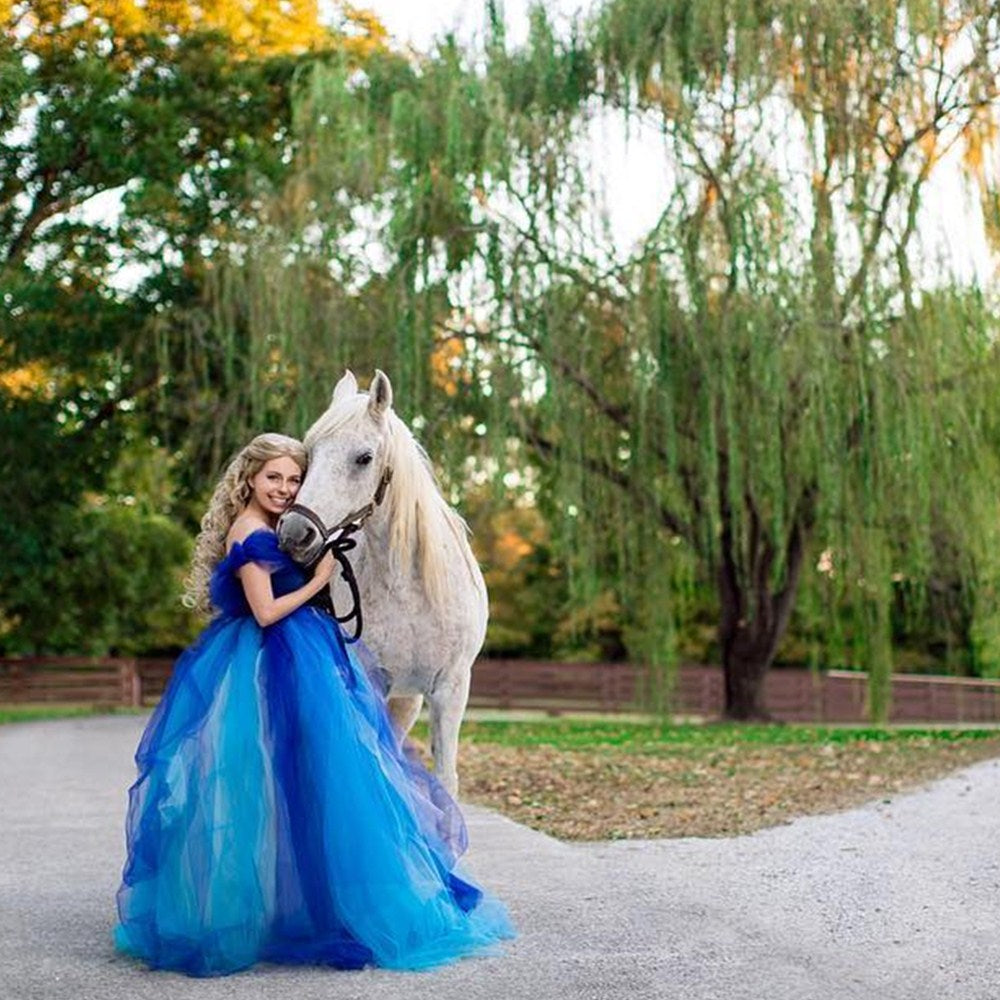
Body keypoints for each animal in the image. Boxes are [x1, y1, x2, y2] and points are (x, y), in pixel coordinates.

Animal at [278, 370, 488, 796]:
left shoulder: (450, 689)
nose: (294, 534)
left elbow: (445, 779)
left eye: (364, 458)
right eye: (309, 454)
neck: (408, 588)